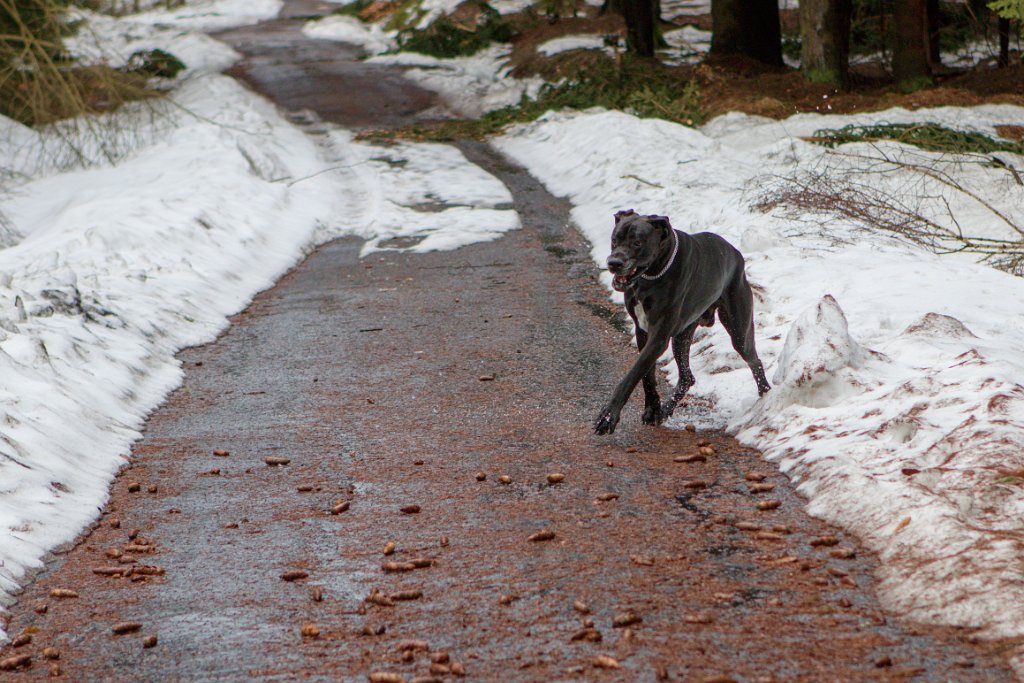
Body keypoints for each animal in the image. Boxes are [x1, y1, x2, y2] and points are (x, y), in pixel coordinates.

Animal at [593, 208, 770, 436]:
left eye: (637, 243)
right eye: (615, 239)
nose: (614, 263)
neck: (651, 276)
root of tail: (737, 254)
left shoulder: (659, 337)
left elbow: (632, 375)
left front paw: (608, 417)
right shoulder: (643, 331)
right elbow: (647, 375)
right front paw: (652, 409)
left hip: (739, 329)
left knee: (754, 361)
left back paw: (765, 397)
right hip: (683, 334)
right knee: (687, 377)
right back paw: (666, 409)